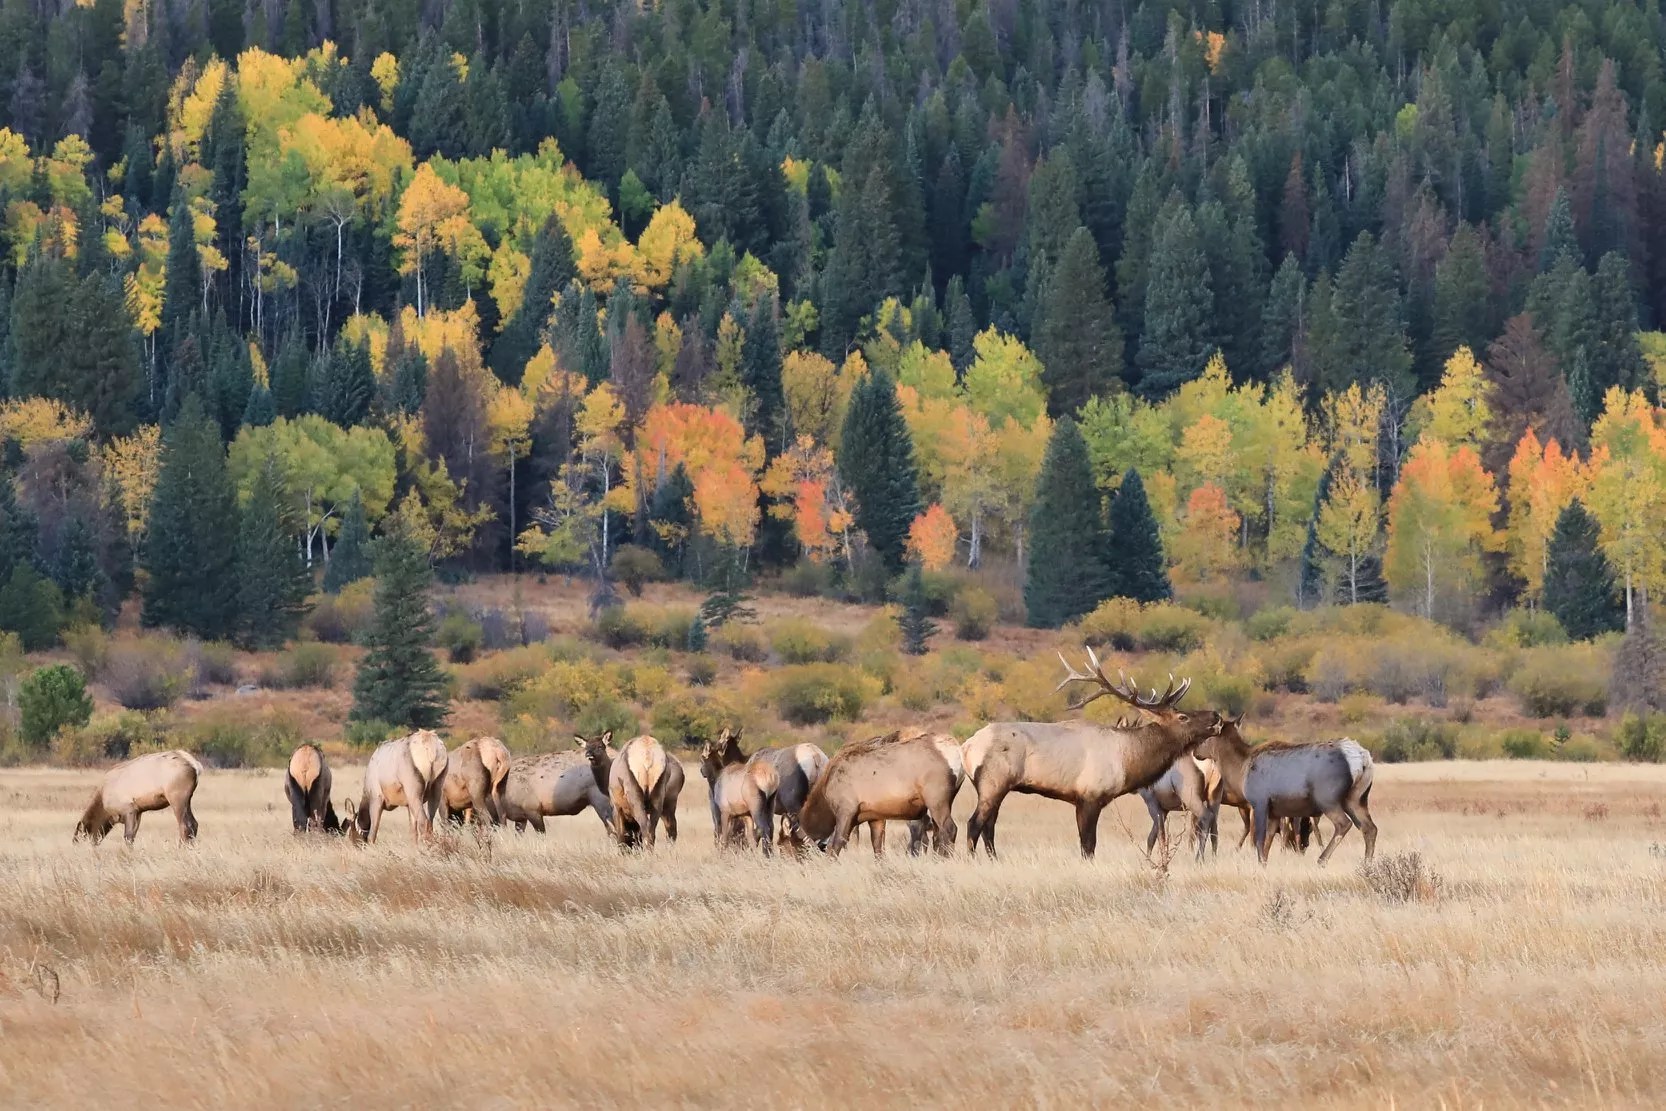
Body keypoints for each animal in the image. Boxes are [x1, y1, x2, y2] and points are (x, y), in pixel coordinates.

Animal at [74, 750, 203, 846]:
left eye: (78, 841)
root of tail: (195, 766)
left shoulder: (129, 809)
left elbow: (128, 837)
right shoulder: (138, 812)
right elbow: (133, 836)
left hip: (177, 797)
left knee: (186, 825)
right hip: (187, 798)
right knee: (194, 824)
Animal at [961, 648, 1224, 858]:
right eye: (1183, 717)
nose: (1216, 716)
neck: (1127, 761)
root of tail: (966, 747)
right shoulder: (1089, 796)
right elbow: (1088, 845)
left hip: (994, 786)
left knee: (989, 827)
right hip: (993, 782)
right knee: (975, 824)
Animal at [1194, 719, 1377, 865]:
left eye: (1208, 734)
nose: (1195, 751)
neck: (1240, 769)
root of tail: (1363, 759)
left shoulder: (1259, 801)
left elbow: (1259, 839)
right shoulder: (1276, 811)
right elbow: (1268, 842)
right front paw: (1263, 864)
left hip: (1327, 798)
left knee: (1344, 824)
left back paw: (1322, 859)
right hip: (1357, 798)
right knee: (1370, 828)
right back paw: (1367, 864)